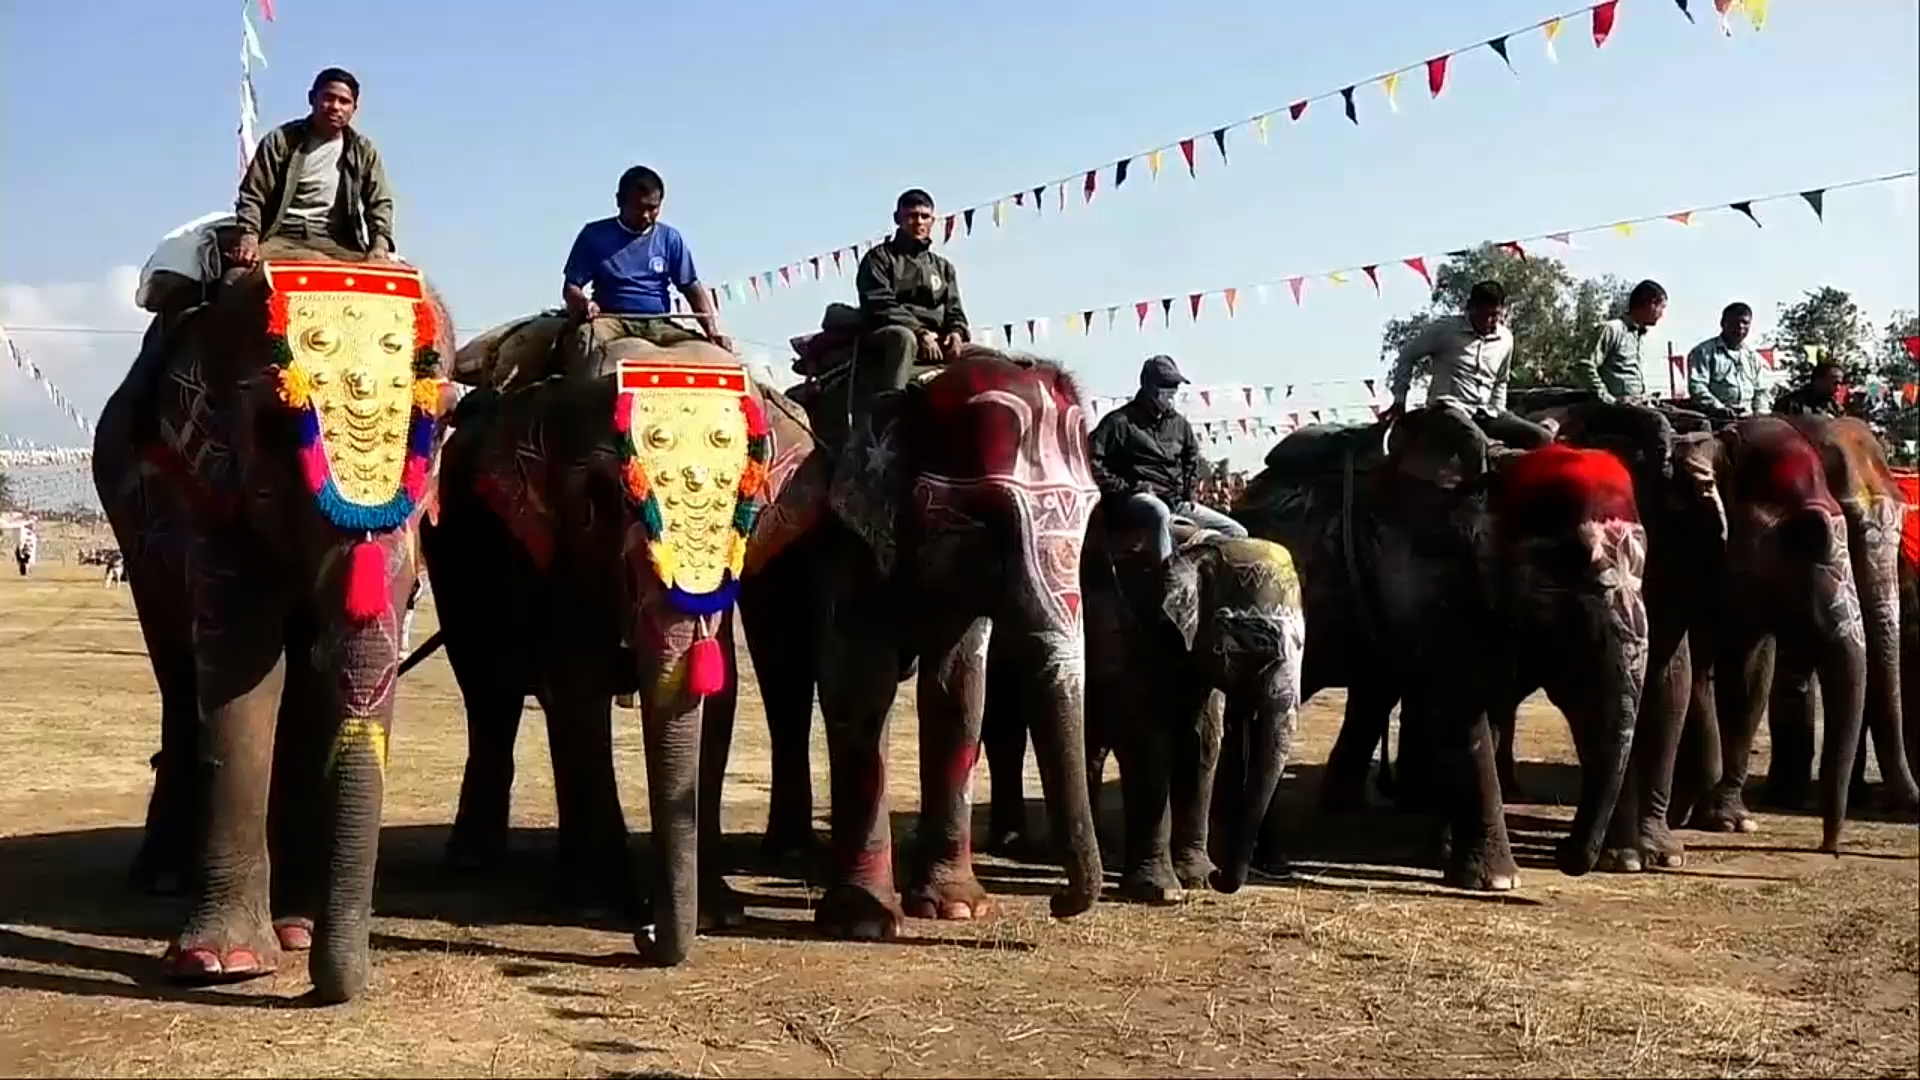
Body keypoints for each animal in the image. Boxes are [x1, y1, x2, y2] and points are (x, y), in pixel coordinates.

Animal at [90, 251, 456, 999]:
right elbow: (241, 663)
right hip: (132, 535)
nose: (328, 988)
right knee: (178, 678)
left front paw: (298, 934)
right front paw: (219, 964)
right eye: (276, 429)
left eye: (438, 432)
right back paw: (161, 878)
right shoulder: (205, 495)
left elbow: (317, 674)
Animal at [422, 332, 825, 960]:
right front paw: (599, 908)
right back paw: (479, 864)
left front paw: (716, 915)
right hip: (450, 554)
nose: (646, 933)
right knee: (489, 693)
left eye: (748, 504)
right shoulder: (550, 554)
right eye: (598, 500)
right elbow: (576, 685)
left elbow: (720, 695)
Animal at [787, 342, 1105, 933]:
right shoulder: (844, 540)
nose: (1056, 902)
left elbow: (958, 691)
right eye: (989, 520)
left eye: (1093, 513)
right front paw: (864, 922)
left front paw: (955, 908)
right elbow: (860, 687)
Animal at [983, 511, 1313, 899]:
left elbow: (1202, 741)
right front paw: (1163, 893)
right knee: (1005, 732)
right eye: (1260, 640)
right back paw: (1013, 845)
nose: (1222, 877)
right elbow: (1147, 741)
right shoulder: (1126, 632)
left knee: (1089, 744)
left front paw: (1199, 879)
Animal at [1236, 401, 1658, 883]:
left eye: (1644, 562)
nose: (1562, 855)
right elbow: (1461, 705)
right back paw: (1267, 859)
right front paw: (1497, 880)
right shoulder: (1427, 576)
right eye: (1562, 562)